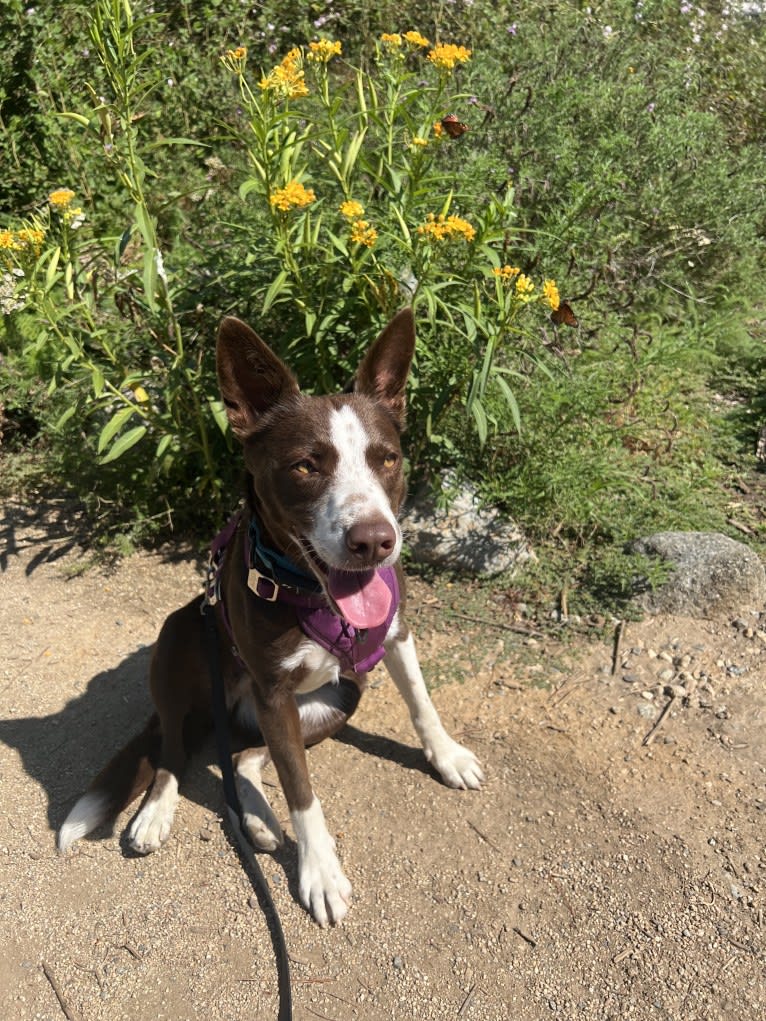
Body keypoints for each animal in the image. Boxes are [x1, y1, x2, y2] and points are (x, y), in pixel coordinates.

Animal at [56, 308, 482, 927]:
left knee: (245, 758)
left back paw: (257, 818)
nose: (374, 542)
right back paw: (157, 812)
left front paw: (447, 757)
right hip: (181, 640)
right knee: (176, 748)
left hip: (338, 698)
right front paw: (320, 872)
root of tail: (227, 706)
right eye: (305, 466)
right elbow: (302, 792)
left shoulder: (394, 633)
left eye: (387, 458)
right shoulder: (275, 691)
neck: (311, 592)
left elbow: (421, 703)